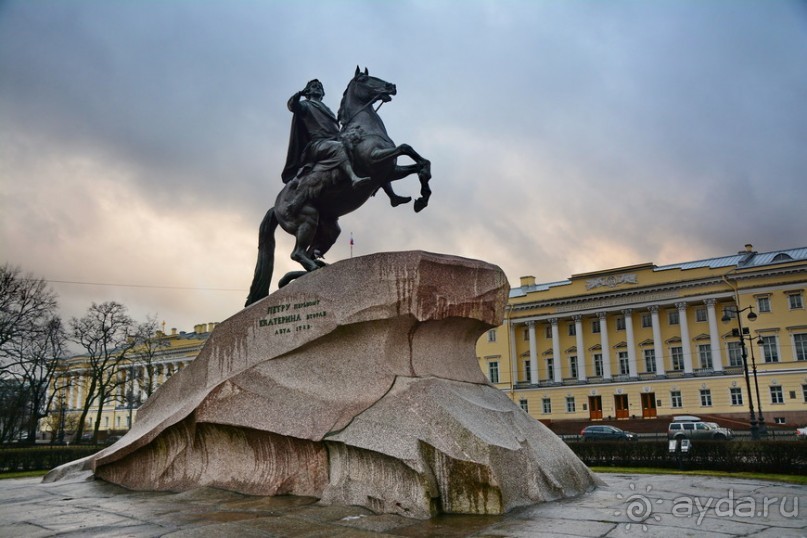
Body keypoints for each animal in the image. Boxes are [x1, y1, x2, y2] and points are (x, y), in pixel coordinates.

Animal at [246, 66, 432, 306]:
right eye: (364, 78)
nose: (391, 86)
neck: (364, 128)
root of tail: (275, 207)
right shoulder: (374, 159)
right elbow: (405, 147)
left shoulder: (389, 171)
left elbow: (420, 164)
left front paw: (422, 198)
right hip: (307, 219)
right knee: (297, 253)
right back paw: (314, 268)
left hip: (328, 230)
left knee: (310, 251)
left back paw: (315, 268)